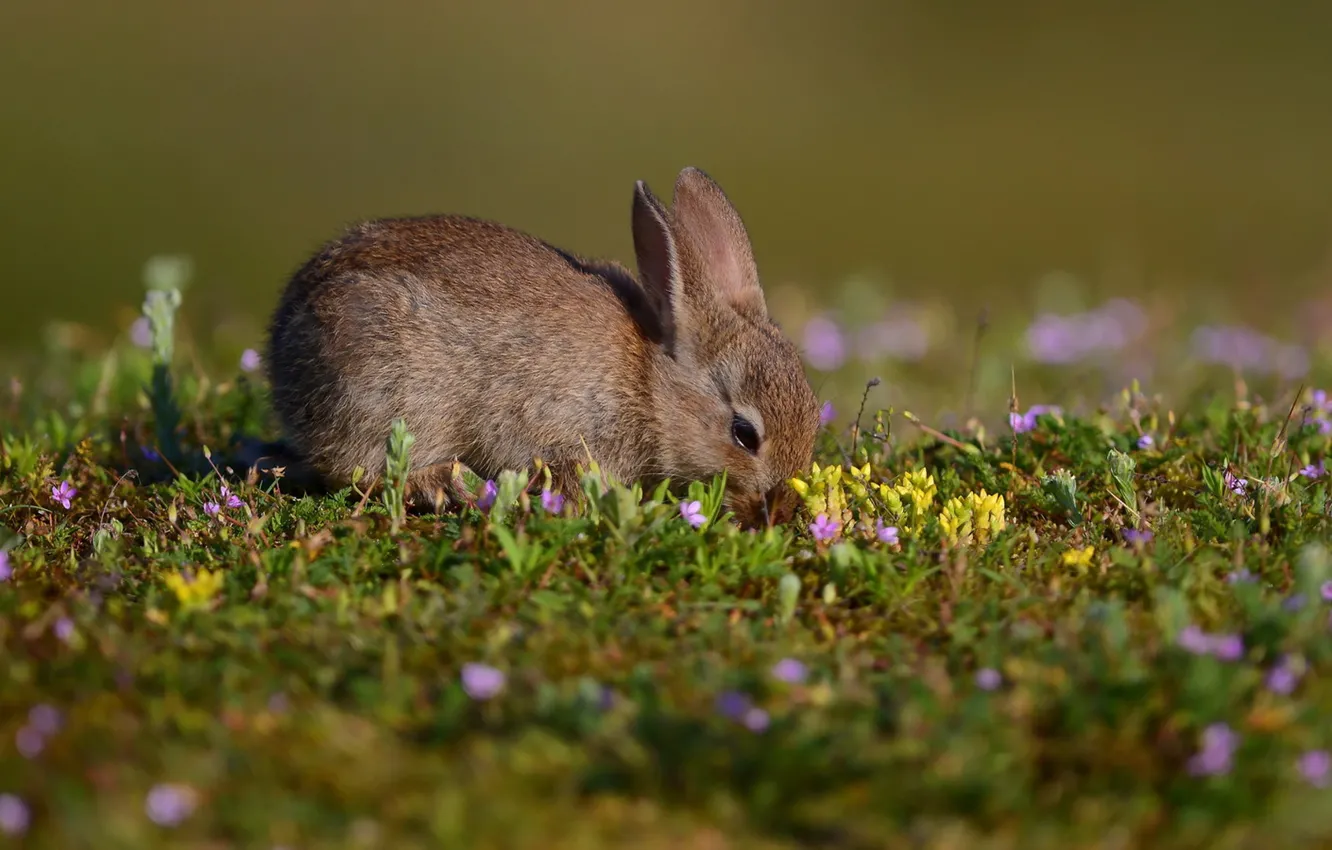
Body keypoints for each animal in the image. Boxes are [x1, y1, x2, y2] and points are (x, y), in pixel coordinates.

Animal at [259, 166, 821, 528]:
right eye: (744, 435)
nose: (776, 514)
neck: (649, 383)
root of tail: (281, 354)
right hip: (382, 388)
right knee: (359, 471)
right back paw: (441, 483)